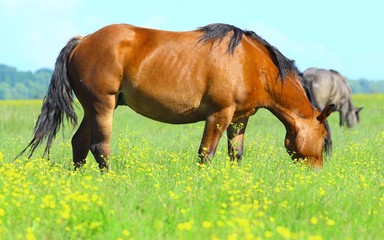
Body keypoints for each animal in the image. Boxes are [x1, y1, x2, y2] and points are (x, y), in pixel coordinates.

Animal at [18, 23, 336, 169]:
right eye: (323, 140)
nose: (315, 173)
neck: (250, 62)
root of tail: (83, 40)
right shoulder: (219, 114)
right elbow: (206, 153)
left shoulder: (239, 119)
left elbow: (235, 154)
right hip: (102, 106)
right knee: (99, 147)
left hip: (92, 108)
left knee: (79, 143)